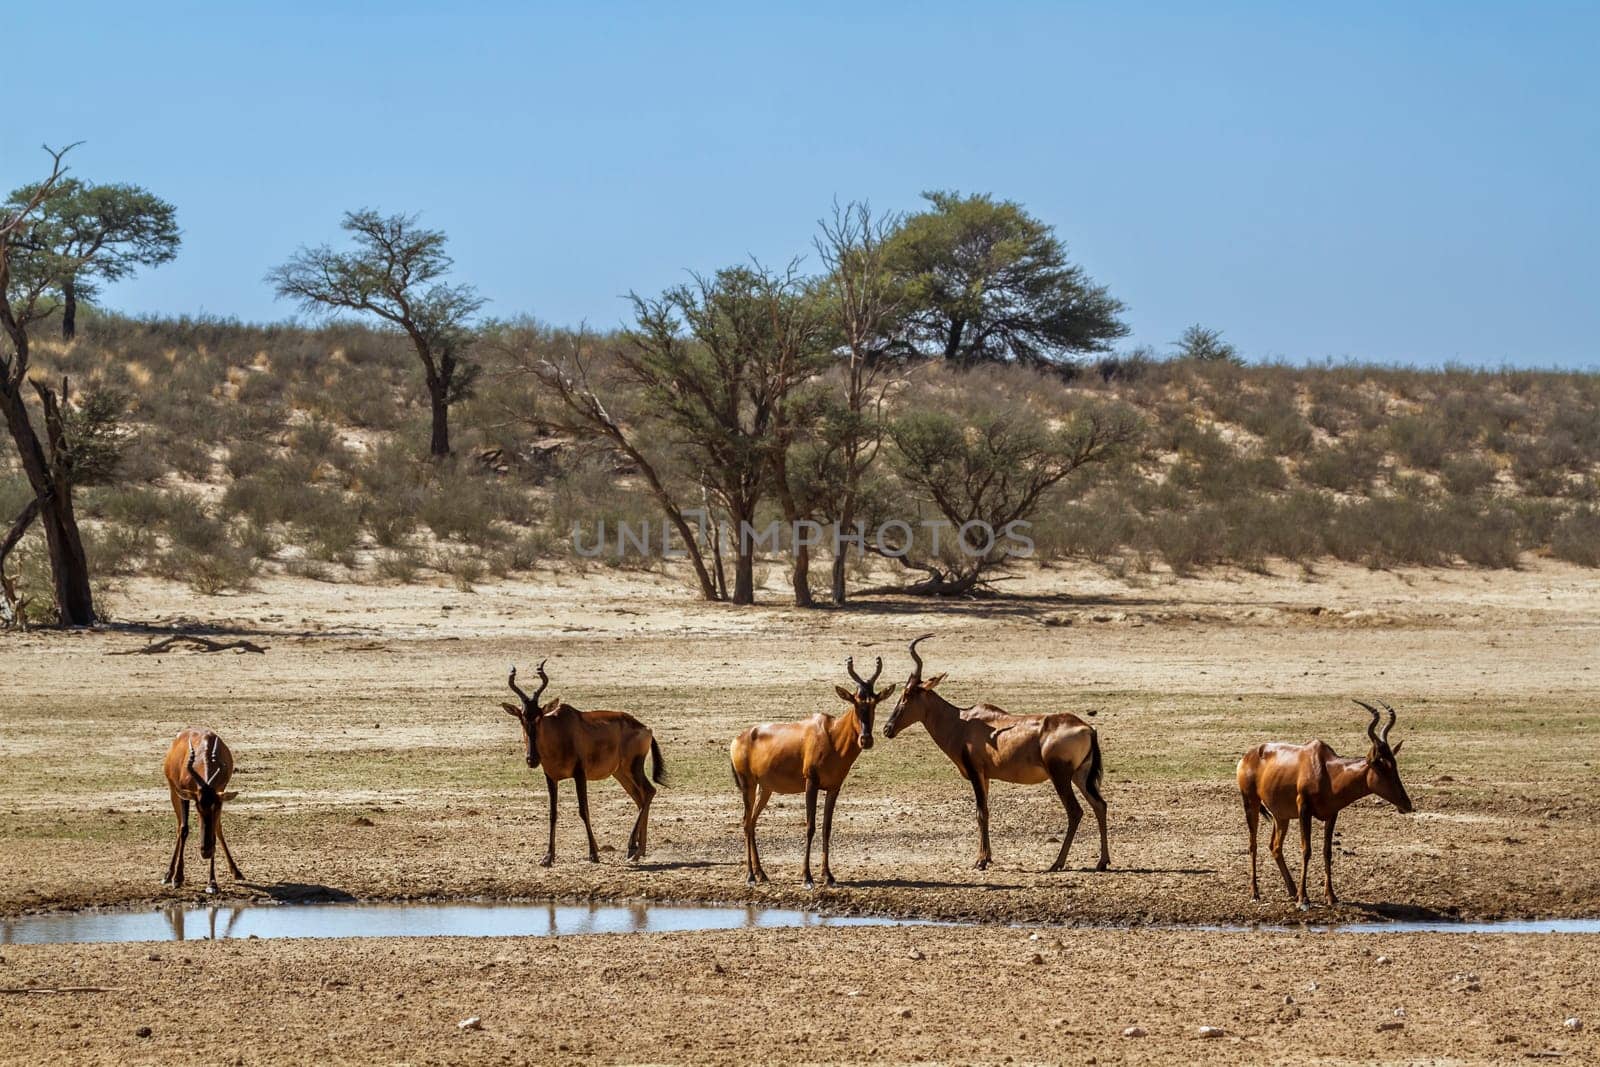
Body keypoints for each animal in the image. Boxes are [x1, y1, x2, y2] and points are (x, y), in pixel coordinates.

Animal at [161, 729, 243, 895]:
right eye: (198, 806)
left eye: (214, 806)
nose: (205, 852)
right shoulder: (186, 796)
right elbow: (184, 829)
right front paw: (178, 878)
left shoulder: (220, 794)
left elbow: (215, 832)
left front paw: (212, 883)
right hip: (173, 792)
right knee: (179, 827)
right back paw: (168, 874)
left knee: (216, 829)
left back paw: (236, 872)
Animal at [499, 659, 662, 870]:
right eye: (522, 718)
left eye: (539, 717)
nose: (532, 759)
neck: (560, 729)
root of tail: (646, 728)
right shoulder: (551, 777)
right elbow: (553, 813)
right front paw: (547, 857)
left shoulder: (579, 774)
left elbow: (584, 810)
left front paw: (594, 854)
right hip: (621, 773)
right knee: (640, 799)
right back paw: (637, 850)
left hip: (633, 767)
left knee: (649, 792)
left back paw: (632, 850)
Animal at [732, 655, 896, 889]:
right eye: (855, 701)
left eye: (874, 703)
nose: (866, 739)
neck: (831, 734)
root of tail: (738, 738)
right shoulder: (811, 783)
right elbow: (810, 826)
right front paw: (807, 878)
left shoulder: (834, 788)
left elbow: (827, 827)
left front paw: (828, 876)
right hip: (747, 785)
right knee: (746, 822)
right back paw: (750, 877)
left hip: (764, 789)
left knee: (752, 822)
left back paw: (762, 874)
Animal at [883, 639, 1107, 870]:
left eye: (907, 695)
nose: (887, 729)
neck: (963, 721)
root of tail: (1088, 728)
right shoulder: (985, 776)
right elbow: (986, 812)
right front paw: (987, 857)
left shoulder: (975, 773)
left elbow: (981, 812)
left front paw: (980, 861)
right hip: (1080, 776)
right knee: (1100, 805)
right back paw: (1102, 862)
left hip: (1061, 777)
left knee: (1075, 812)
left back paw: (1057, 863)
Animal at [1235, 700, 1414, 908]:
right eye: (1381, 766)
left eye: (1394, 764)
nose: (1407, 804)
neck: (1326, 769)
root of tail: (1247, 756)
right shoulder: (1304, 810)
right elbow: (1306, 850)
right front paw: (1304, 899)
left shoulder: (1332, 814)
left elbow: (1327, 851)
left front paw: (1331, 896)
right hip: (1251, 803)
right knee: (1253, 844)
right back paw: (1256, 893)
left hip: (1281, 816)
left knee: (1275, 846)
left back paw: (1292, 891)